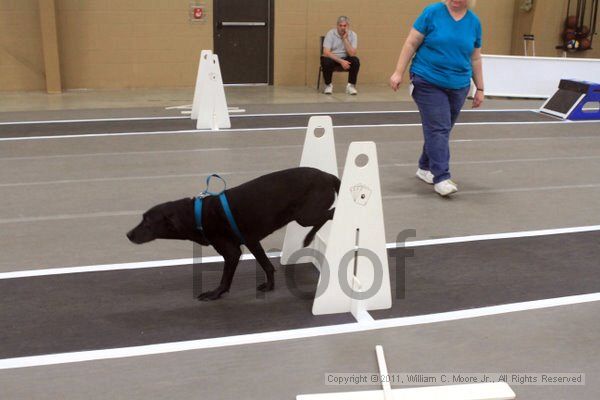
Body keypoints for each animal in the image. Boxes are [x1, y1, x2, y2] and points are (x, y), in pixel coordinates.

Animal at [127, 166, 340, 300]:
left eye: (147, 222)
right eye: (142, 218)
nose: (128, 235)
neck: (197, 215)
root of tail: (328, 176)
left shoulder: (232, 252)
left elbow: (225, 279)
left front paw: (215, 294)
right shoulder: (252, 241)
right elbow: (267, 265)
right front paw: (269, 286)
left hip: (306, 215)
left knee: (331, 214)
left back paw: (309, 238)